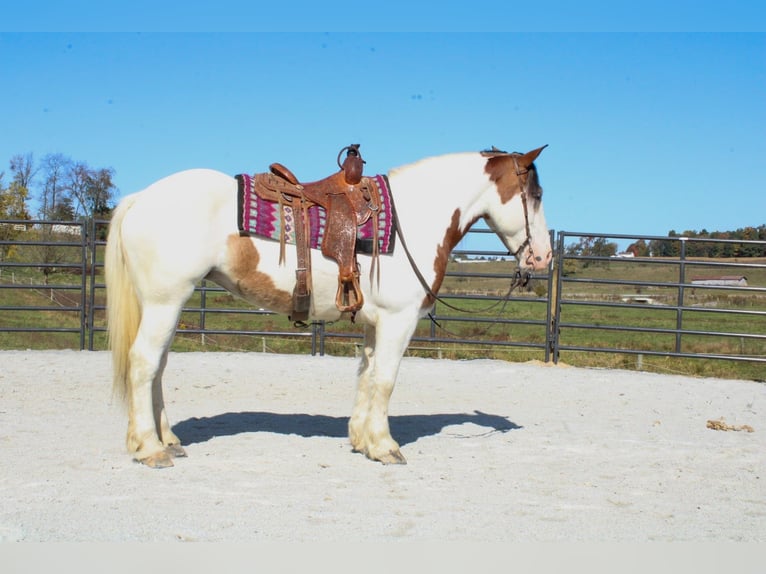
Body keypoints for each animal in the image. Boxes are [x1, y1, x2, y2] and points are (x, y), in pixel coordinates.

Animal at [106, 144, 552, 468]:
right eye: (536, 194)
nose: (542, 258)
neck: (412, 221)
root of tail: (141, 198)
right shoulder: (399, 321)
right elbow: (385, 380)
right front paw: (386, 447)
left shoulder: (376, 323)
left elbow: (366, 377)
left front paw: (363, 441)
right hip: (165, 302)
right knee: (144, 363)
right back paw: (150, 448)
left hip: (164, 305)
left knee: (158, 367)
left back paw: (168, 439)